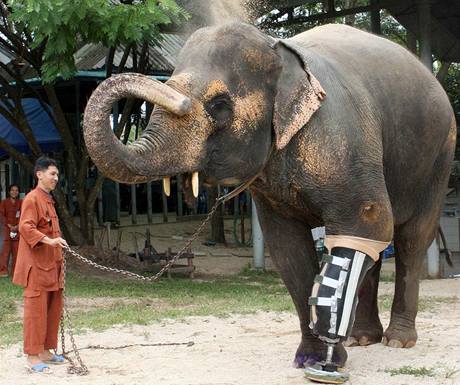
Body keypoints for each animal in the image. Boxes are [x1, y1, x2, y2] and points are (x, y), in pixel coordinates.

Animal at [83, 21, 456, 368]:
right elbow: (287, 246)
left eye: (219, 105)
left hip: (440, 156)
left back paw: (398, 341)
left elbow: (368, 222)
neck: (279, 49)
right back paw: (363, 338)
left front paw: (329, 357)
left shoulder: (341, 141)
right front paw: (310, 358)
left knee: (412, 239)